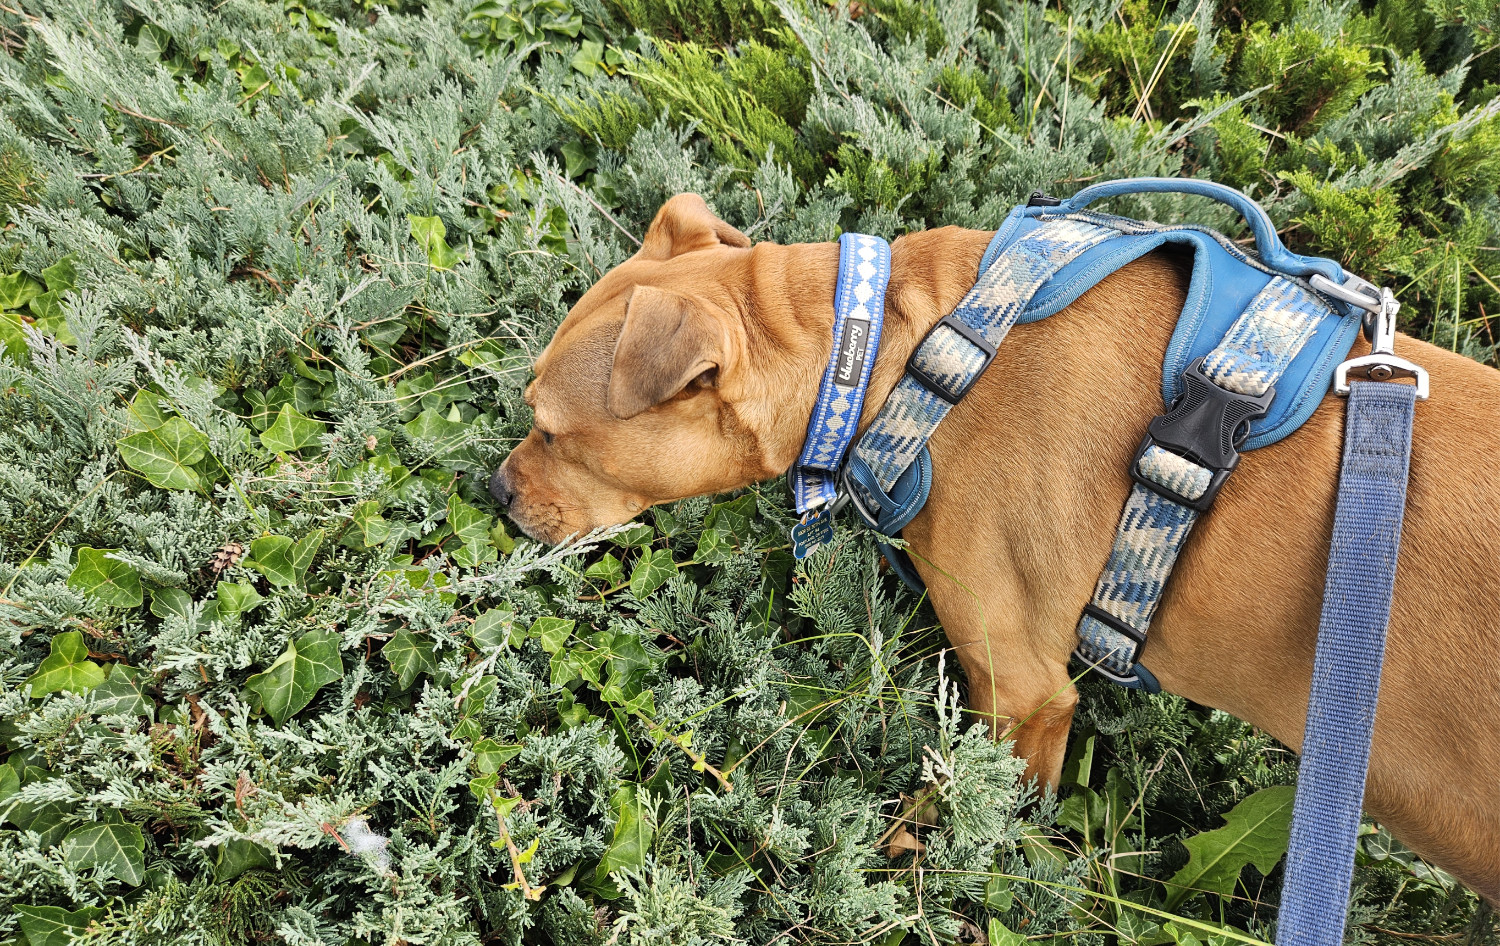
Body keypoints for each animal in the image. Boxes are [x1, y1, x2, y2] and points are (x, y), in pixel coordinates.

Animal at [495, 194, 1500, 893]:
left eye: (550, 430)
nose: (494, 493)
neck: (895, 351)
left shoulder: (1021, 692)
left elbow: (970, 808)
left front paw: (933, 860)